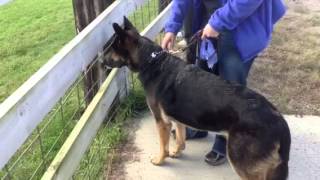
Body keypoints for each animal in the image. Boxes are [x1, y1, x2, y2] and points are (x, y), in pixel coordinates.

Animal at [102, 17, 290, 180]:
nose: (102, 62)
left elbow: (163, 146)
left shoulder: (162, 121)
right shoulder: (176, 118)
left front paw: (160, 160)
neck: (152, 61)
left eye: (112, 48)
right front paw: (177, 152)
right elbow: (180, 138)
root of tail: (279, 120)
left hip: (242, 162)